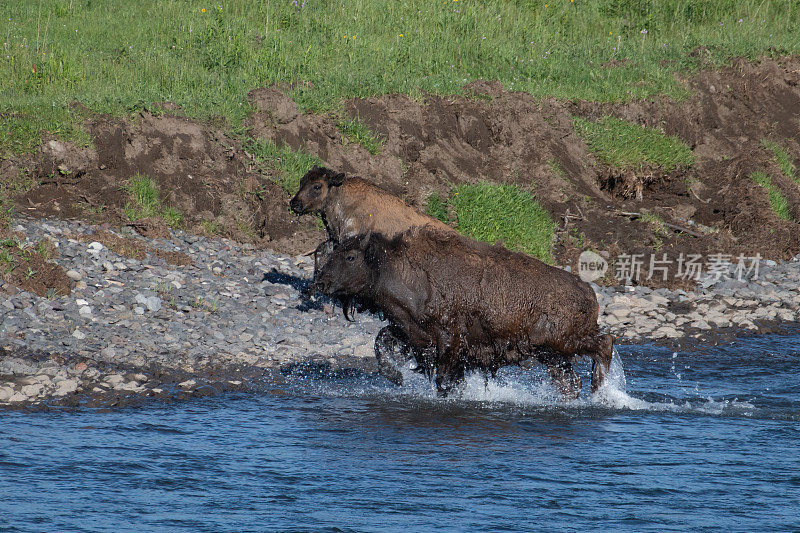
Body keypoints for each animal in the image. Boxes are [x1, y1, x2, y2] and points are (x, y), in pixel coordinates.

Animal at [312, 227, 612, 396]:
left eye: (351, 256)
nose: (321, 282)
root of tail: (590, 293)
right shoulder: (412, 335)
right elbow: (380, 343)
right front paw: (396, 378)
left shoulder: (450, 341)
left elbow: (445, 381)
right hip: (549, 354)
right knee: (570, 381)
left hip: (563, 342)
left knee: (604, 344)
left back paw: (602, 391)